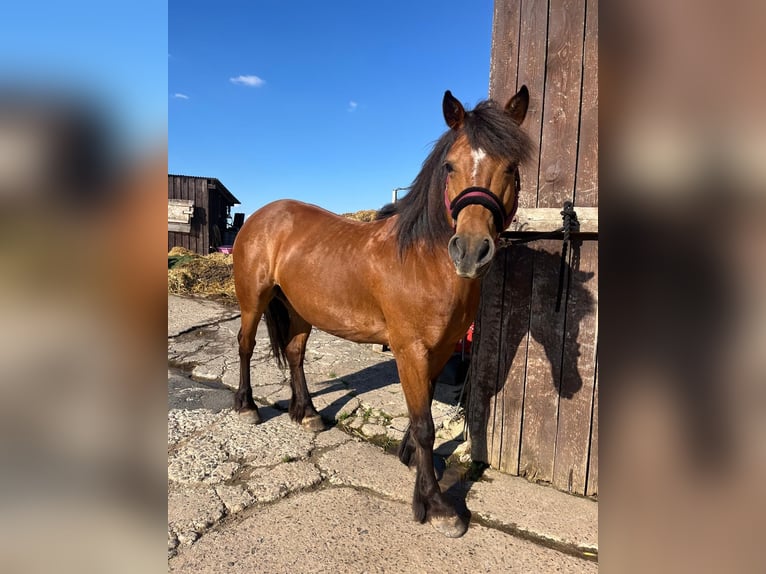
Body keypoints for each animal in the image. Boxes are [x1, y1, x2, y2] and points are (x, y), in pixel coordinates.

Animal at [232, 87, 532, 537]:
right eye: (450, 166)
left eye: (511, 167)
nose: (470, 251)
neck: (424, 261)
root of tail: (261, 215)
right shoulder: (409, 349)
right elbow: (424, 424)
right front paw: (435, 504)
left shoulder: (440, 349)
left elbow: (420, 414)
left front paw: (413, 461)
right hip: (253, 300)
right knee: (246, 345)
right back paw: (248, 406)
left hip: (300, 309)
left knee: (296, 353)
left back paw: (308, 414)